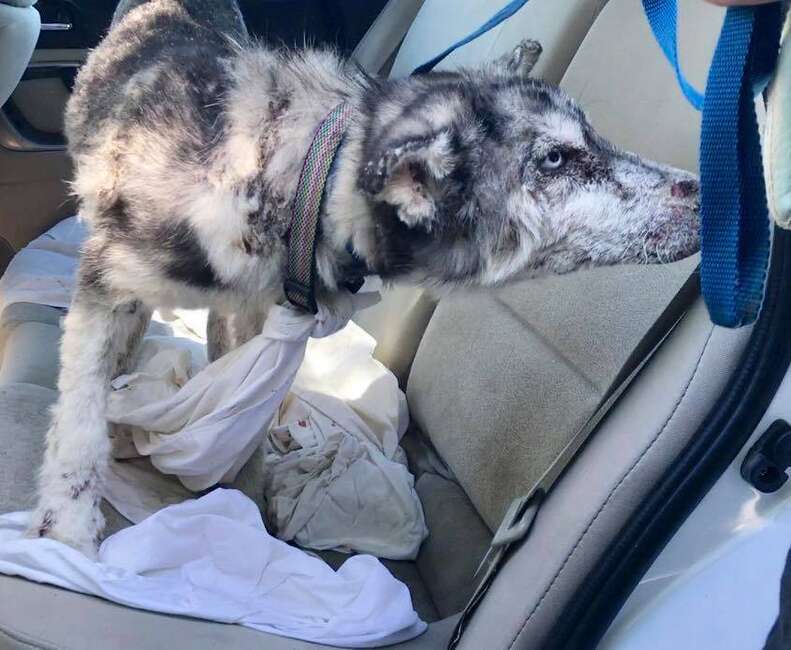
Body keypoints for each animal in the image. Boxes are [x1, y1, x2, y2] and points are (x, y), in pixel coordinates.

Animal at [29, 0, 700, 552]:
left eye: (589, 138)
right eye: (556, 159)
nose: (704, 192)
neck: (299, 177)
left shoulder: (245, 316)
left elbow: (241, 421)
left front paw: (240, 508)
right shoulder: (106, 284)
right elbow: (81, 420)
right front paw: (68, 526)